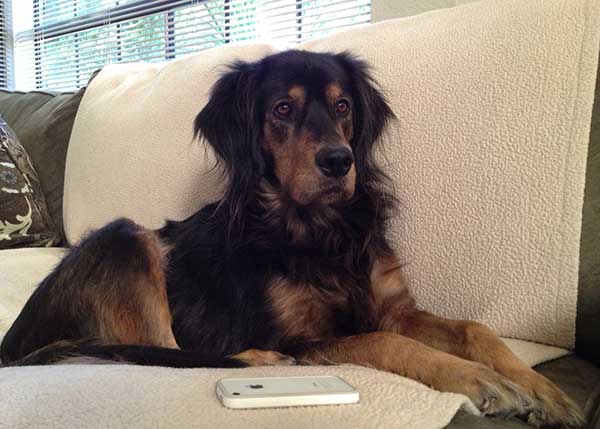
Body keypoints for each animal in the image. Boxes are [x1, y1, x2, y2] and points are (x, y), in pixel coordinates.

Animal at [0, 51, 580, 428]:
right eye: (282, 108)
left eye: (344, 106)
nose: (339, 161)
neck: (319, 228)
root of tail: (15, 338)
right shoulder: (302, 336)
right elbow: (387, 343)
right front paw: (482, 381)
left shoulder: (392, 306)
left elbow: (476, 329)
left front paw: (545, 392)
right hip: (125, 238)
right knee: (160, 352)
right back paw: (257, 362)